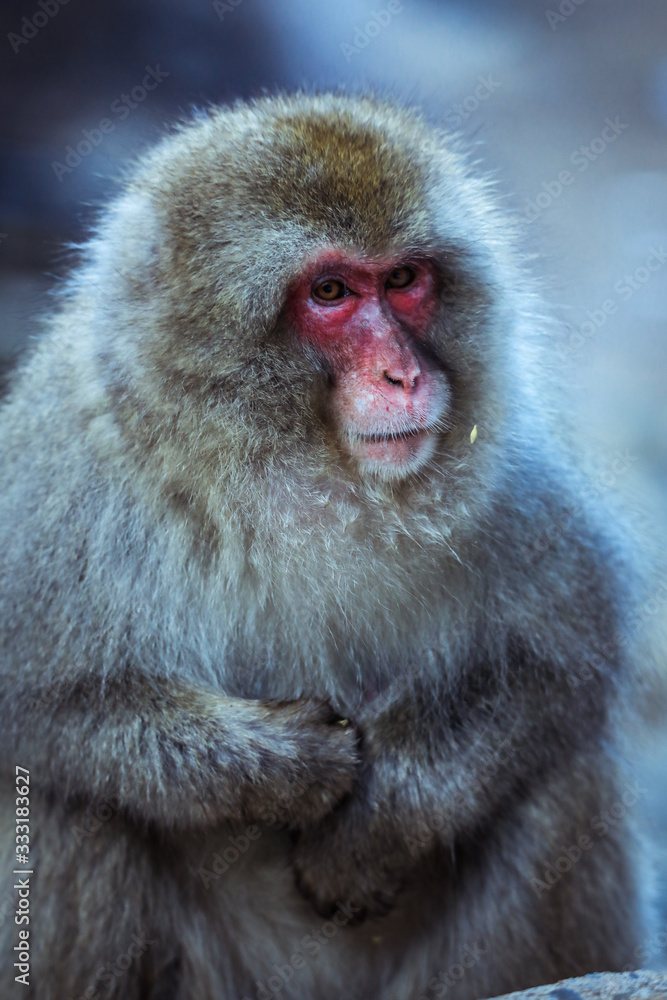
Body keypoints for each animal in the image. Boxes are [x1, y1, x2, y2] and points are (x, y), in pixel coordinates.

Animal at [0, 93, 653, 1000]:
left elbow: (557, 663)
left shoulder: (512, 483)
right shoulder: (62, 473)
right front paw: (282, 766)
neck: (290, 475)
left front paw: (371, 827)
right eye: (332, 291)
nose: (402, 377)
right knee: (72, 802)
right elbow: (35, 711)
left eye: (406, 280)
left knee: (561, 779)